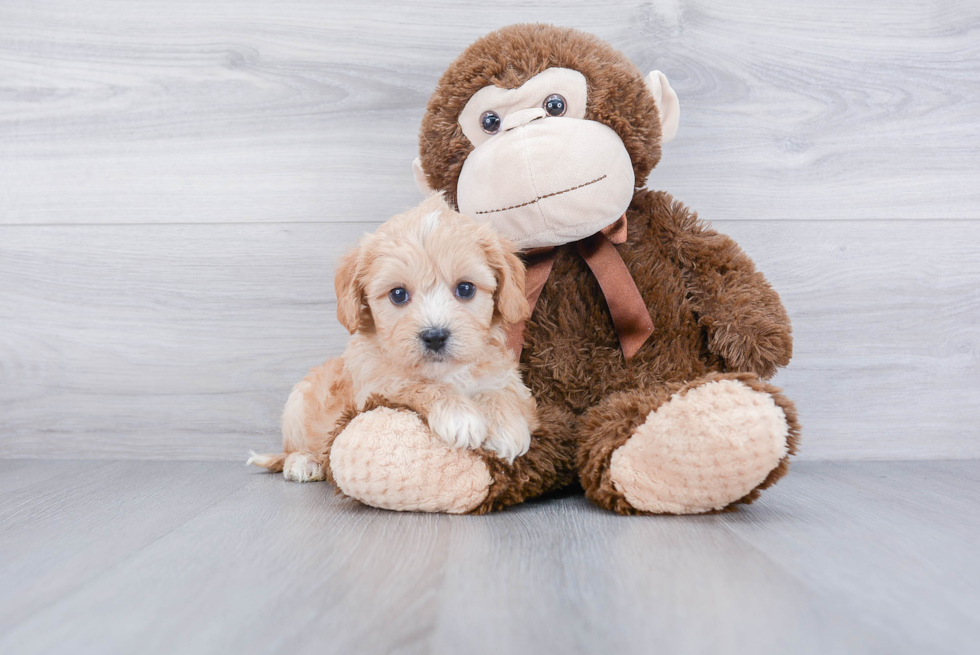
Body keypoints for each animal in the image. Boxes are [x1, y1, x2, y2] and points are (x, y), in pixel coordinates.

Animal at [245, 195, 536, 482]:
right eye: (398, 294)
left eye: (465, 288)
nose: (435, 336)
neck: (447, 372)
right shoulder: (376, 387)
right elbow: (418, 384)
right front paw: (459, 415)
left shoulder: (514, 383)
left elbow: (500, 392)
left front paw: (505, 427)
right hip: (297, 404)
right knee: (293, 448)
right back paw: (303, 461)